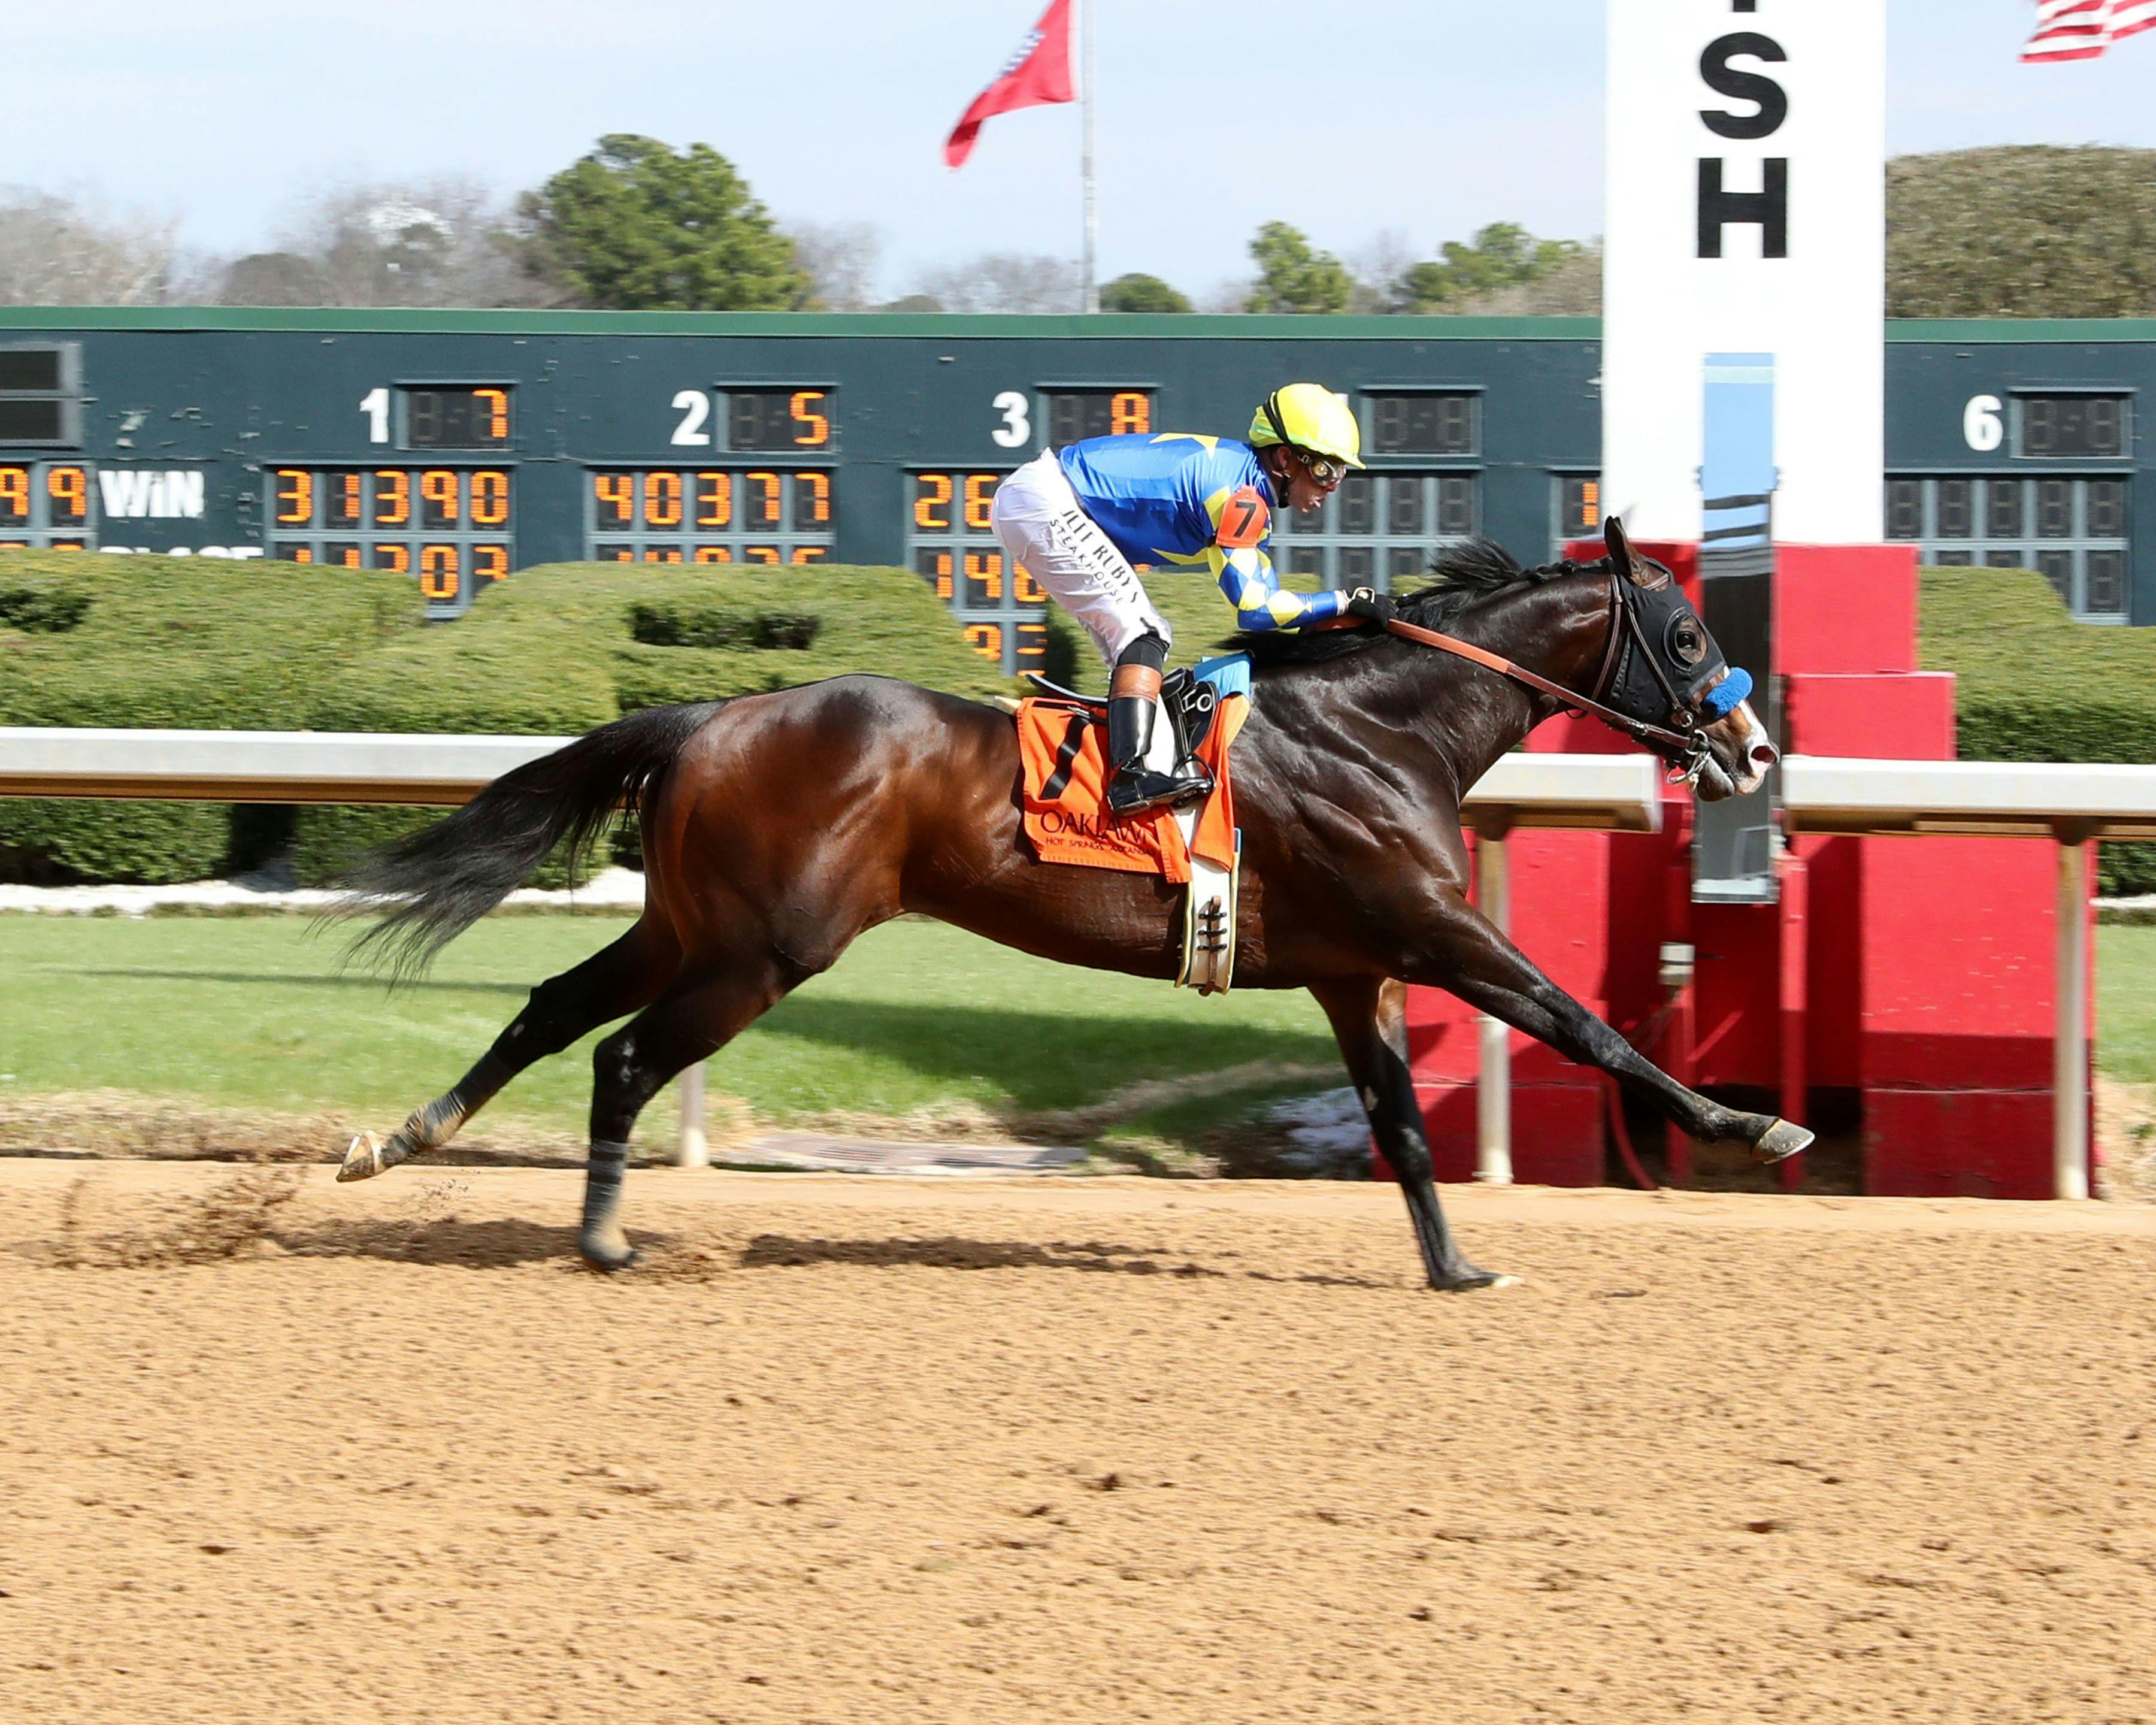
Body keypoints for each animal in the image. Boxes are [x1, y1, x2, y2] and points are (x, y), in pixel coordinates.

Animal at [336, 526, 1802, 1294]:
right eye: (1685, 637)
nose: (1753, 751)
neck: (1385, 728)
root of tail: (711, 715)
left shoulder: (1358, 971)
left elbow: (1400, 1122)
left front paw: (1453, 1268)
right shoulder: (1441, 932)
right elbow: (1586, 1025)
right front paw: (1750, 1125)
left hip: (692, 925)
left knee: (550, 1011)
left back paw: (398, 1141)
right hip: (764, 949)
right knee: (627, 1055)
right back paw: (601, 1235)